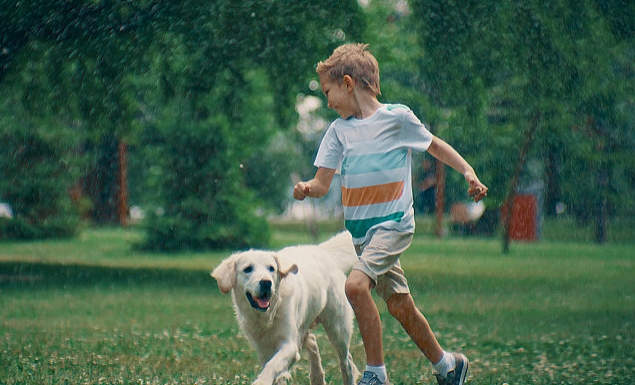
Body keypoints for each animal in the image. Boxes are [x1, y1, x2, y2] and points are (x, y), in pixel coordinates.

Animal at [212, 231, 360, 384]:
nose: (266, 283)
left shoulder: (289, 344)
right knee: (313, 341)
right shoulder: (263, 348)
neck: (266, 316)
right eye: (247, 269)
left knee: (346, 362)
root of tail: (322, 250)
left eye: (271, 268)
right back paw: (317, 377)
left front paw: (262, 381)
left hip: (337, 328)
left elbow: (272, 365)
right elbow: (273, 367)